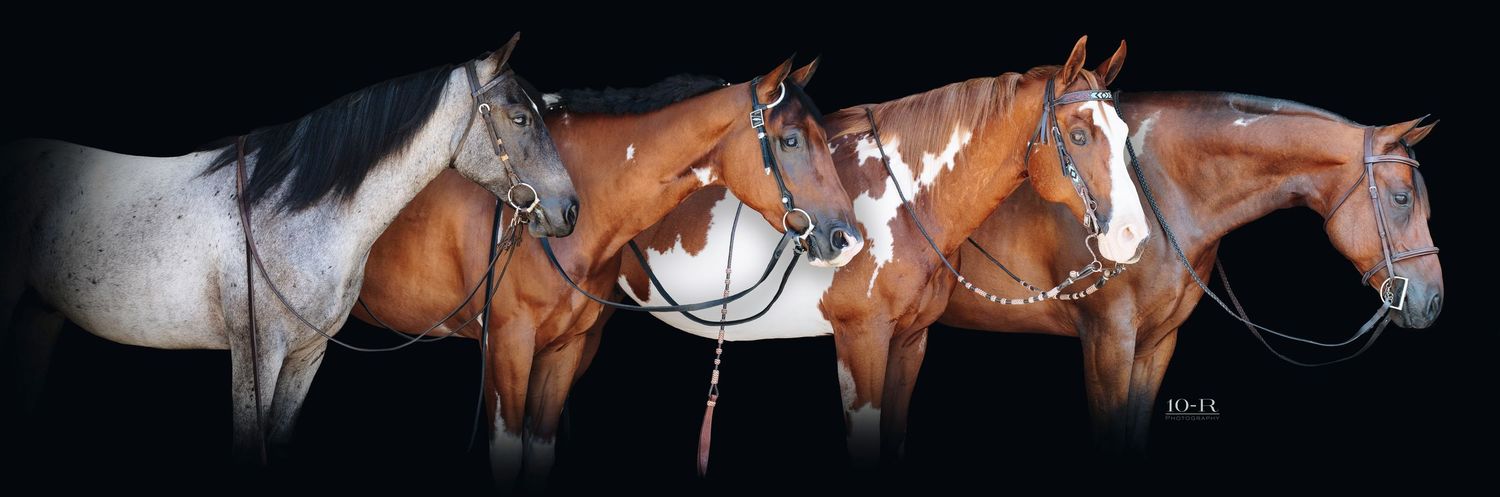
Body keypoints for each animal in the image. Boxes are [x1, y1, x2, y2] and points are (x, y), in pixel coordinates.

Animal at [0, 35, 578, 465]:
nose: (569, 210)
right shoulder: (257, 356)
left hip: (38, 315)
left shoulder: (306, 356)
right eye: (520, 118)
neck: (288, 211)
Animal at [615, 36, 1149, 466]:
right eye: (1078, 135)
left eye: (1125, 134)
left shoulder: (909, 343)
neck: (900, 203)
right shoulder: (861, 340)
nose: (1132, 236)